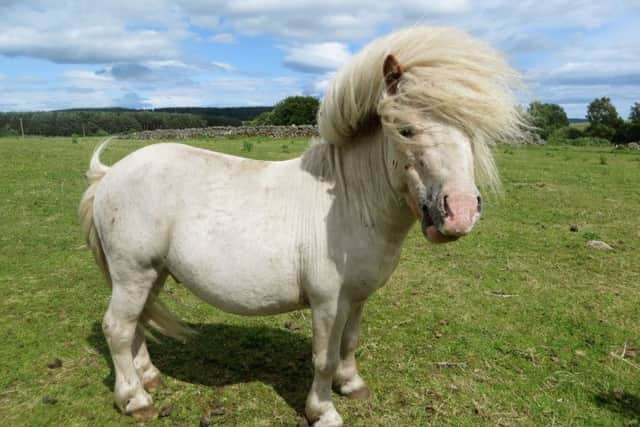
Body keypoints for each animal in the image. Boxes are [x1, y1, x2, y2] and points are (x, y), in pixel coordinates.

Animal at [77, 27, 524, 427]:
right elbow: (323, 357)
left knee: (137, 322)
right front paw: (323, 411)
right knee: (117, 328)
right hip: (133, 272)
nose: (460, 213)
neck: (350, 202)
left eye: (471, 131)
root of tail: (110, 174)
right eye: (406, 129)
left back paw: (148, 377)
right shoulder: (327, 301)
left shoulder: (357, 298)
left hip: (151, 274)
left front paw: (352, 384)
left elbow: (349, 342)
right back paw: (134, 399)